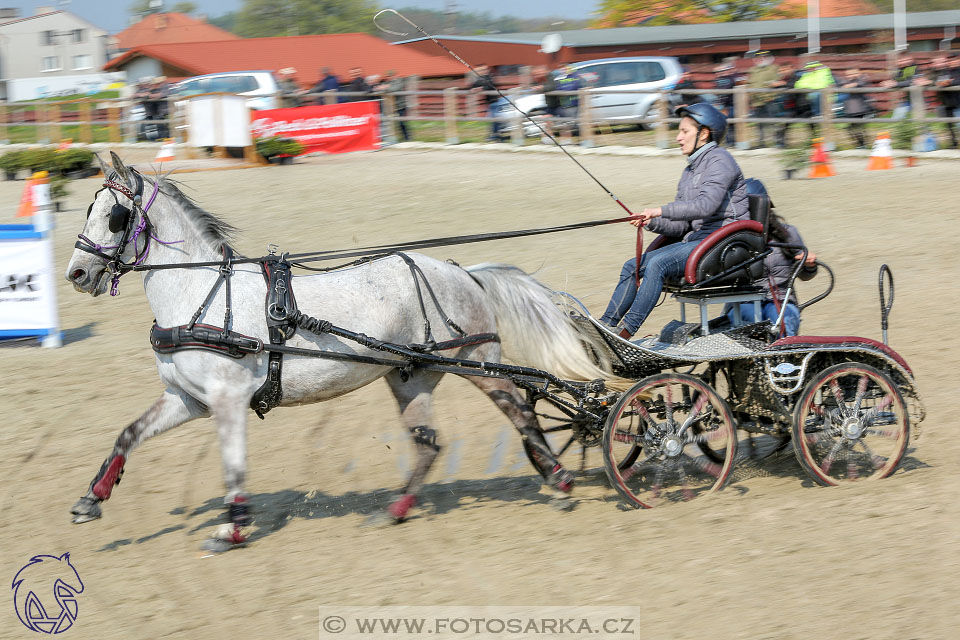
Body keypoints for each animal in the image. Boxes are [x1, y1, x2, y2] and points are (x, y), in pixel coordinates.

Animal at [65, 152, 616, 548]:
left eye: (114, 215)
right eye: (88, 208)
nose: (77, 273)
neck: (202, 293)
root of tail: (466, 272)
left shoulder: (226, 399)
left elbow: (233, 465)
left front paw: (233, 527)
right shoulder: (187, 399)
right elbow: (128, 434)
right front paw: (92, 499)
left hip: (479, 363)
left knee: (521, 412)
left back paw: (561, 481)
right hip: (411, 376)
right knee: (427, 442)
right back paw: (395, 510)